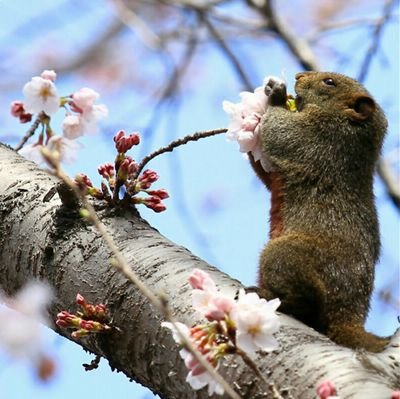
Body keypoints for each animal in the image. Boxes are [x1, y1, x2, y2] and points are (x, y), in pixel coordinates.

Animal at [250, 72, 388, 354]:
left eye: (329, 83)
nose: (298, 75)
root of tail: (349, 317)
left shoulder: (318, 138)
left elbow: (281, 134)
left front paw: (276, 95)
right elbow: (267, 173)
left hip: (285, 256)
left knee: (310, 305)